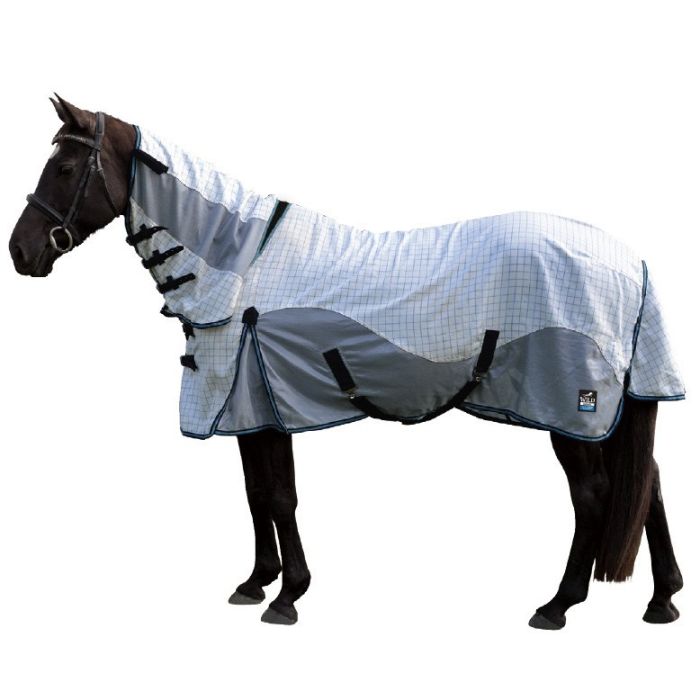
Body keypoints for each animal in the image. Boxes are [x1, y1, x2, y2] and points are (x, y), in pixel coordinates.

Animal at [8, 95, 684, 629]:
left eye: (64, 167)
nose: (20, 251)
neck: (239, 266)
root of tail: (633, 261)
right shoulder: (248, 411)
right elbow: (256, 493)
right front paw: (255, 582)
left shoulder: (263, 404)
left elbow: (280, 496)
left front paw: (288, 596)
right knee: (645, 483)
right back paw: (662, 601)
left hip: (573, 412)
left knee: (595, 495)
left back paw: (558, 605)